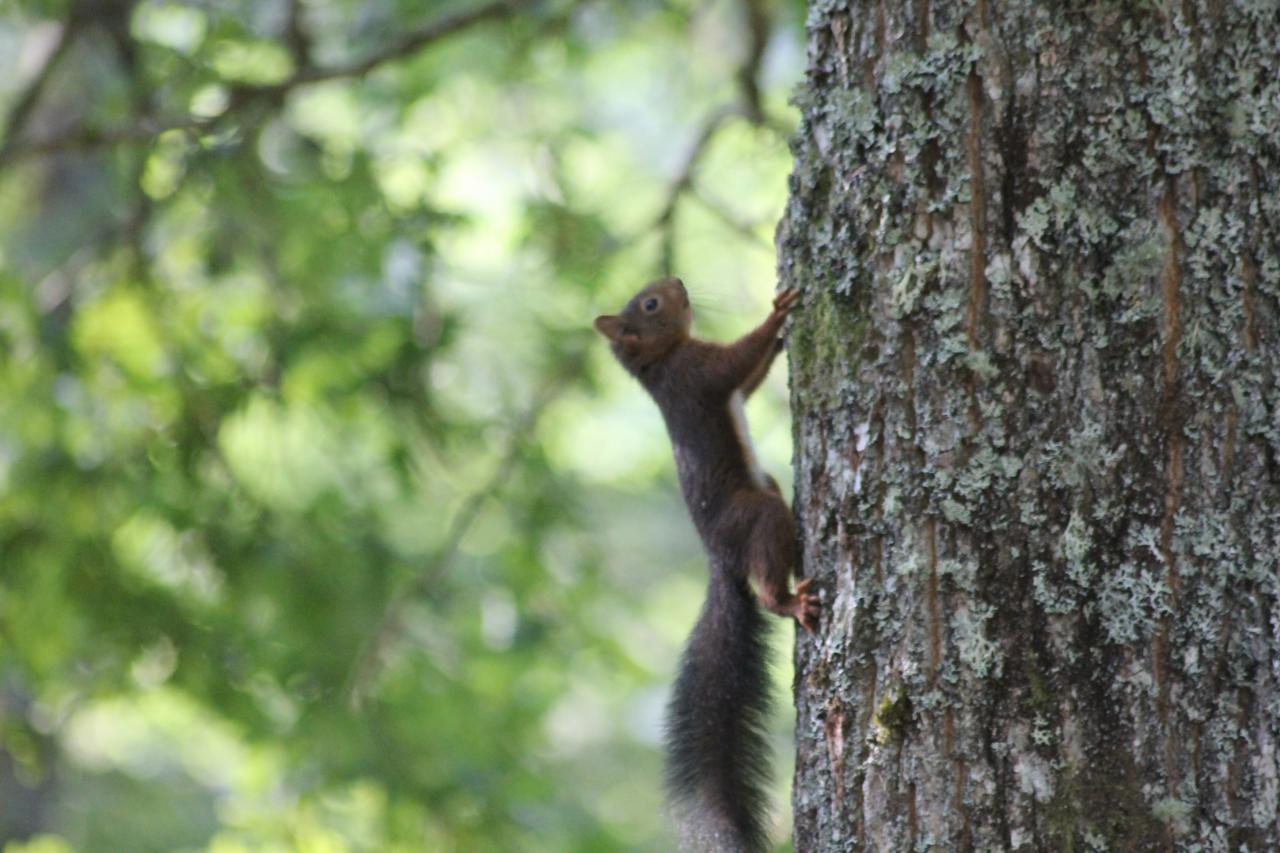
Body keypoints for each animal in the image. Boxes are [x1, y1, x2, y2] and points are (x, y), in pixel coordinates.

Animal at [591, 277, 814, 850]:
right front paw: (776, 315)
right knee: (767, 578)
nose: (677, 282)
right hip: (756, 513)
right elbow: (735, 365)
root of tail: (721, 561)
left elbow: (748, 382)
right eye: (650, 304)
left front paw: (780, 337)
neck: (659, 364)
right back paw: (788, 600)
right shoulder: (699, 373)